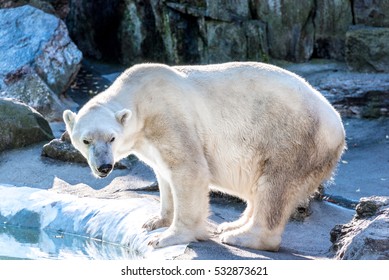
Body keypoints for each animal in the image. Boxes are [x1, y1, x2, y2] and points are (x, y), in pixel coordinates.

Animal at [63, 61, 346, 252]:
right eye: (86, 141)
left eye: (111, 138)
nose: (104, 167)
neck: (139, 98)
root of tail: (338, 127)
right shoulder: (149, 139)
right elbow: (163, 173)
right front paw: (155, 221)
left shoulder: (169, 116)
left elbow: (188, 169)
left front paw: (166, 237)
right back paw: (231, 225)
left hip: (292, 139)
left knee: (276, 186)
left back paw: (242, 237)